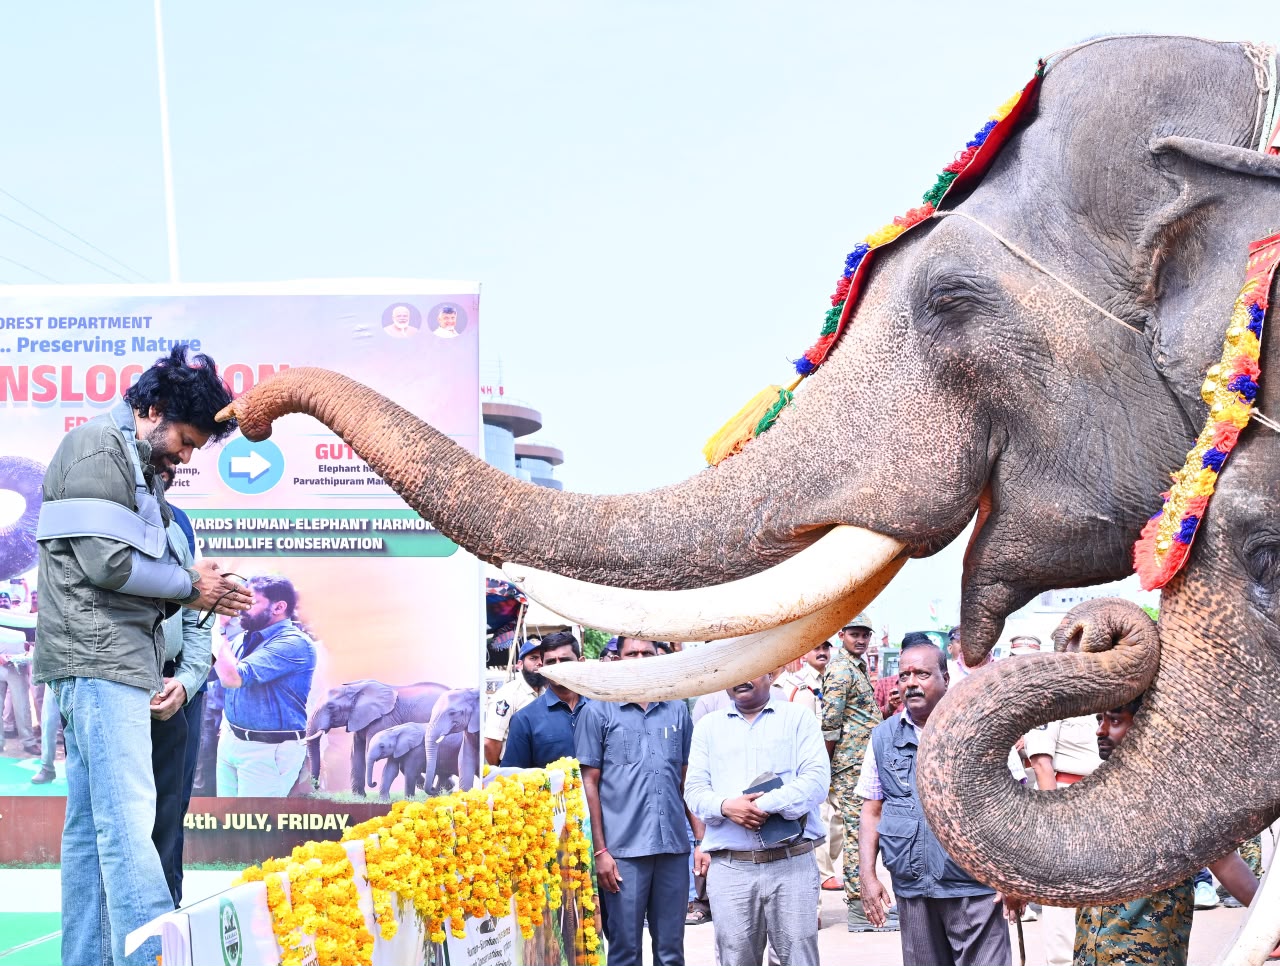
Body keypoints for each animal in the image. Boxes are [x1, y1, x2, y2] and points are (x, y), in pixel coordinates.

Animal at [305, 679, 449, 796]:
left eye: (330, 707)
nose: (317, 787)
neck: (356, 688)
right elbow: (356, 754)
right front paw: (359, 797)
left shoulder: (383, 719)